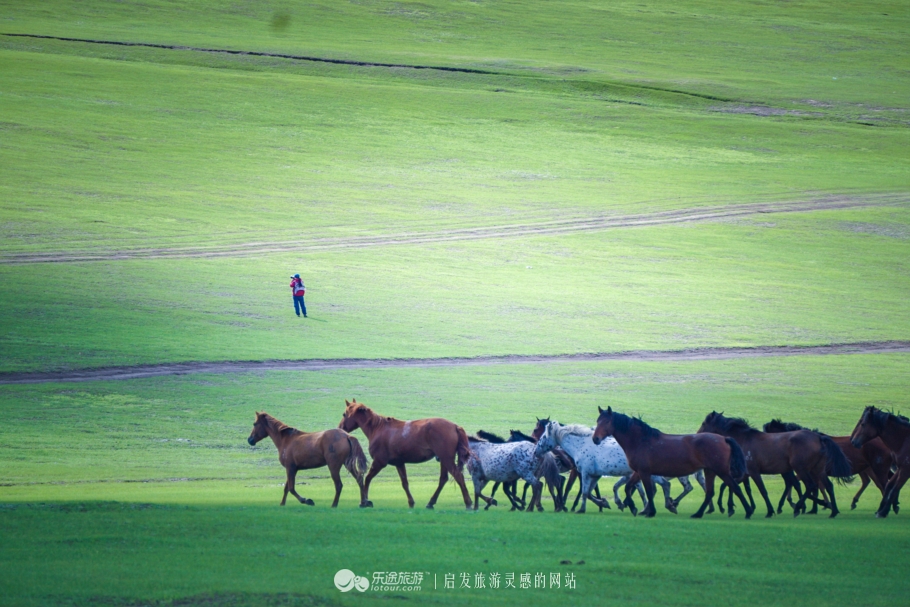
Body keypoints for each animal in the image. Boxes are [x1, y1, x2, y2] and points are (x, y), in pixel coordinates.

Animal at [338, 399, 473, 509]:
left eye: (344, 414)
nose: (340, 428)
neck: (378, 428)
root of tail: (455, 426)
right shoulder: (399, 463)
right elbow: (405, 483)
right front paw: (411, 502)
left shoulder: (379, 462)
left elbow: (367, 479)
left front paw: (364, 501)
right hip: (444, 460)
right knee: (443, 479)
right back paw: (430, 503)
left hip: (447, 459)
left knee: (458, 476)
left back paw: (468, 503)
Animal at [593, 406, 753, 519]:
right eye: (597, 421)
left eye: (607, 421)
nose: (595, 439)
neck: (641, 441)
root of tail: (724, 438)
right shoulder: (638, 472)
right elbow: (628, 488)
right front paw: (633, 507)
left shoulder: (644, 472)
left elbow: (649, 492)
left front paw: (651, 512)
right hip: (710, 471)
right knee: (710, 492)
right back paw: (698, 513)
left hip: (721, 471)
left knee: (734, 488)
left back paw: (747, 512)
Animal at [698, 412, 853, 518]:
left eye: (704, 423)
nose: (697, 433)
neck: (744, 439)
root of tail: (819, 437)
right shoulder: (745, 474)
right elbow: (731, 486)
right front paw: (730, 507)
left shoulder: (753, 472)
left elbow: (762, 490)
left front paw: (769, 511)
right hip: (817, 470)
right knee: (827, 486)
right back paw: (832, 510)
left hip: (801, 469)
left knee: (810, 486)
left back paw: (799, 508)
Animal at [765, 418, 896, 513]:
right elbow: (817, 487)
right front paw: (819, 506)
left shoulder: (808, 471)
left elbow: (807, 485)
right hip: (869, 469)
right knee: (874, 483)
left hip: (877, 469)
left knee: (883, 485)